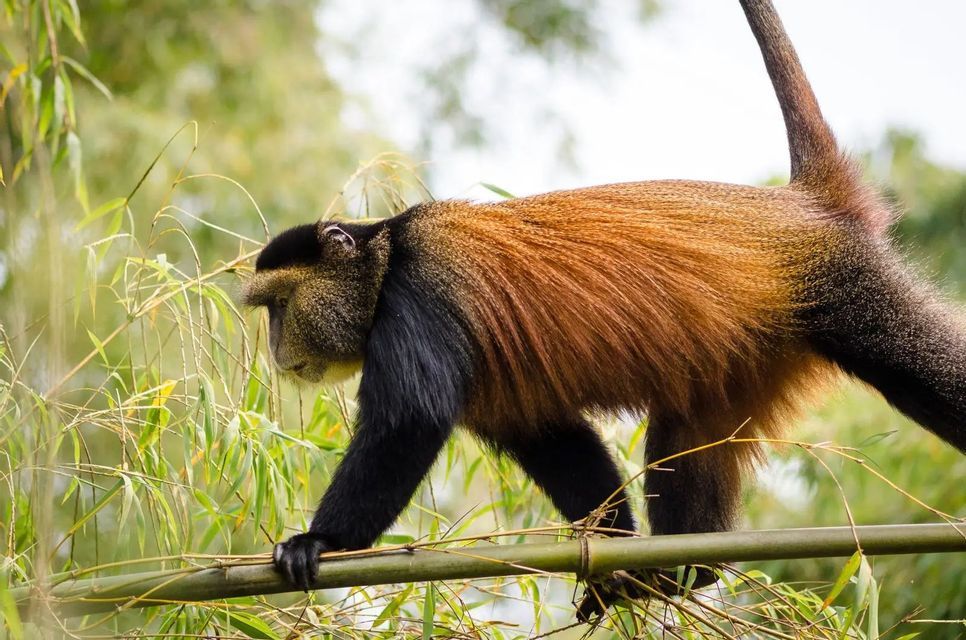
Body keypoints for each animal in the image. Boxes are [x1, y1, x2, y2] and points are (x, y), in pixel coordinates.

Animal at [243, 0, 965, 620]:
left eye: (279, 304)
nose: (276, 348)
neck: (383, 256)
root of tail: (806, 205)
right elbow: (551, 435)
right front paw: (610, 550)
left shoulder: (422, 293)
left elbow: (408, 421)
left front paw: (319, 543)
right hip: (744, 361)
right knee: (686, 447)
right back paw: (680, 571)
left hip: (847, 289)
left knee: (917, 368)